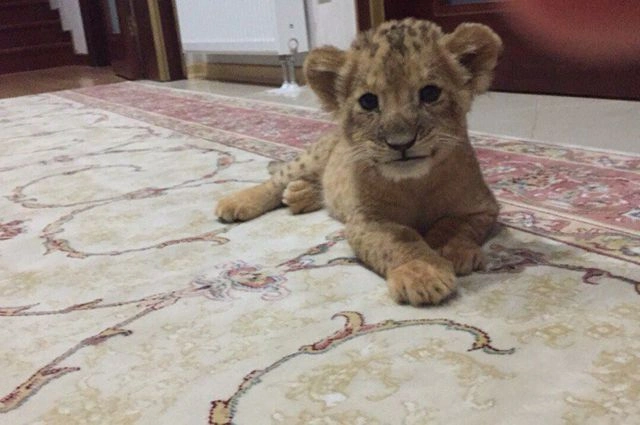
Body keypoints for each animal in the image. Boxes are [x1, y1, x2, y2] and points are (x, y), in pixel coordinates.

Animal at [216, 18, 502, 306]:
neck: (415, 184)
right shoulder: (365, 220)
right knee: (276, 180)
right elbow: (400, 240)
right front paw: (422, 273)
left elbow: (456, 224)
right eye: (368, 101)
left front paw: (454, 252)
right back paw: (237, 202)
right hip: (312, 157)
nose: (400, 143)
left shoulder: (483, 209)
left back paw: (299, 194)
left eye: (430, 93)